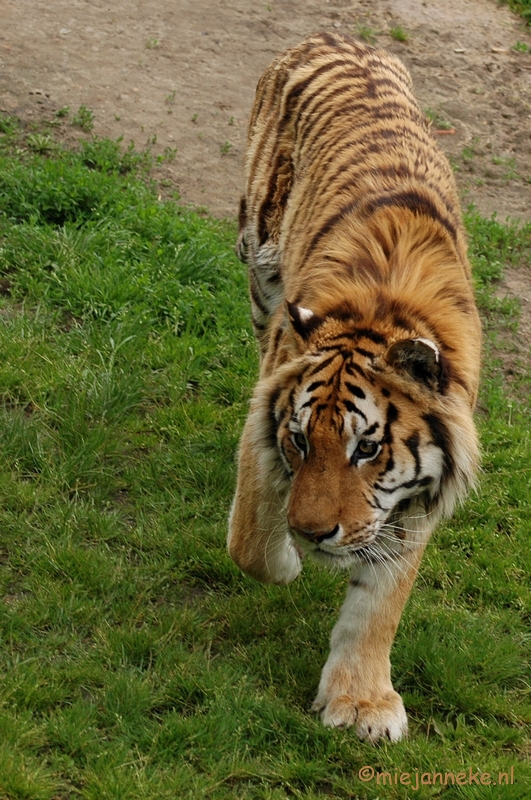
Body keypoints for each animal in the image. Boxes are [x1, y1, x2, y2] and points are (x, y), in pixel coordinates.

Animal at [227, 31, 484, 744]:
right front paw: (286, 560)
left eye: (367, 449)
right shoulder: (266, 412)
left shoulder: (418, 495)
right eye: (298, 440)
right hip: (259, 267)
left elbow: (381, 602)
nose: (314, 534)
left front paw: (361, 703)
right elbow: (251, 539)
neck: (383, 309)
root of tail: (336, 36)